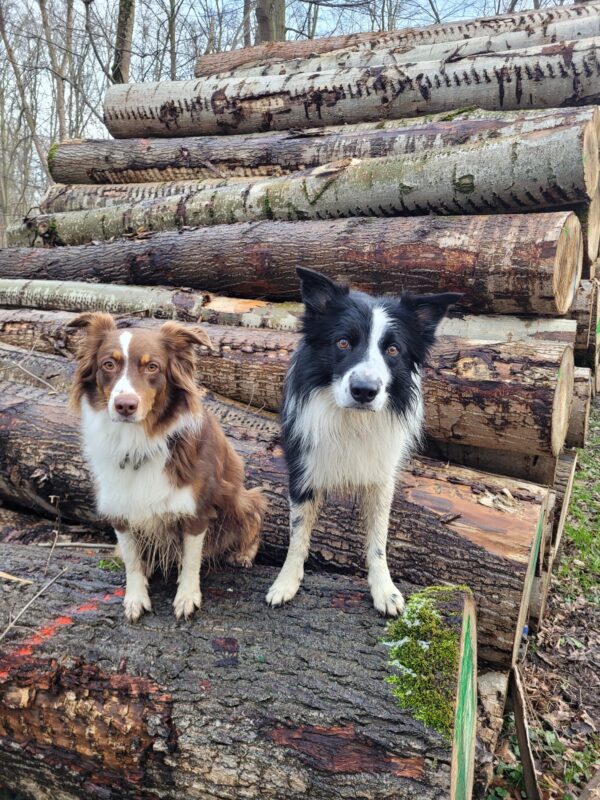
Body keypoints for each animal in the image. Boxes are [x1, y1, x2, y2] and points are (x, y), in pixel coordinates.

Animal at [69, 316, 264, 620]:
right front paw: (135, 597)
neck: (137, 441)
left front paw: (187, 598)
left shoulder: (196, 510)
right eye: (108, 364)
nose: (125, 405)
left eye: (152, 367)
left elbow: (191, 560)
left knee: (255, 514)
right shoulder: (119, 508)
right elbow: (132, 560)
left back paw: (244, 554)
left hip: (238, 498)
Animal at [266, 268, 460, 612]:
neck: (352, 420)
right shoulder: (303, 470)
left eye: (393, 350)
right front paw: (286, 581)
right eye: (343, 343)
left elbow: (379, 539)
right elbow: (298, 533)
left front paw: (385, 589)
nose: (364, 391)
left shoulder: (381, 477)